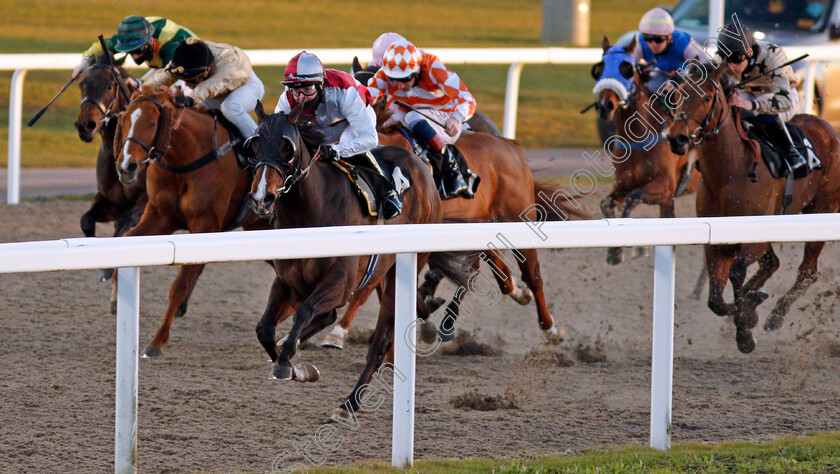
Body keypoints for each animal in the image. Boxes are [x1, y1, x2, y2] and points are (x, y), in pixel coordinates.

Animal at [74, 53, 147, 280]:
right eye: (82, 84)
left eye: (109, 86)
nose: (85, 125)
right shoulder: (111, 200)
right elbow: (86, 220)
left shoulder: (146, 202)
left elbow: (122, 223)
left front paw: (108, 269)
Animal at [112, 86, 270, 360]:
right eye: (124, 120)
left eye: (152, 123)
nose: (125, 166)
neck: (184, 160)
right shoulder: (160, 216)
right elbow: (128, 239)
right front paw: (115, 295)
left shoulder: (204, 224)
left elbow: (179, 285)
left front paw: (156, 341)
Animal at [246, 101, 472, 418]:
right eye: (253, 144)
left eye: (285, 146)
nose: (261, 198)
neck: (311, 212)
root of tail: (422, 169)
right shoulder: (287, 283)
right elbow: (265, 329)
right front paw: (296, 366)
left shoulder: (340, 284)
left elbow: (304, 312)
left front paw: (286, 365)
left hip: (395, 275)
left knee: (378, 343)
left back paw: (350, 403)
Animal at [592, 36, 704, 266]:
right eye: (599, 69)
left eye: (626, 68)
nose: (605, 106)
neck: (639, 137)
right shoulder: (622, 183)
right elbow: (607, 203)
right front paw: (613, 252)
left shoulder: (666, 186)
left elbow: (633, 199)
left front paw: (623, 249)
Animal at [672, 62, 840, 352]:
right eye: (678, 95)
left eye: (707, 97)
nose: (677, 138)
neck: (730, 172)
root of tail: (826, 126)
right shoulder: (717, 241)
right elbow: (715, 300)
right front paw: (748, 312)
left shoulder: (754, 239)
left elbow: (737, 273)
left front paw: (745, 329)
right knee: (772, 264)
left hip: (823, 210)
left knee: (807, 272)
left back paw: (775, 316)